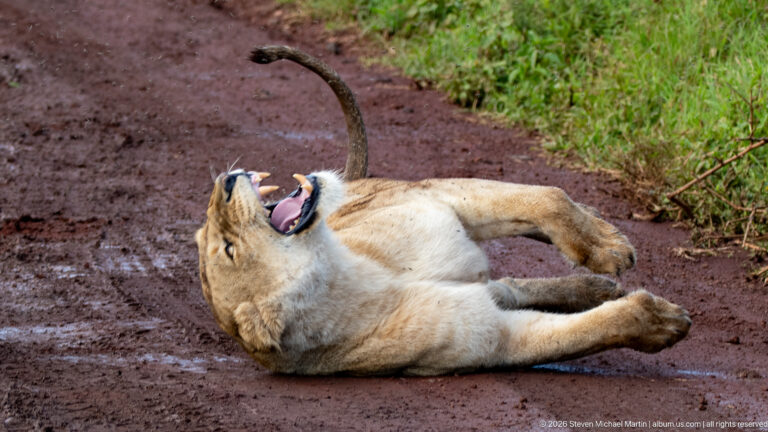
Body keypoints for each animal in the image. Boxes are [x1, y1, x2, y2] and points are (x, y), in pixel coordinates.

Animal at [195, 46, 690, 376]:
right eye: (229, 248)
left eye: (208, 237)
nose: (225, 184)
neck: (340, 265)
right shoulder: (492, 338)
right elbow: (587, 332)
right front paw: (663, 322)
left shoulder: (436, 198)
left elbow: (546, 197)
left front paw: (608, 247)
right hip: (484, 290)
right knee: (511, 287)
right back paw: (601, 288)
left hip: (398, 194)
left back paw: (602, 253)